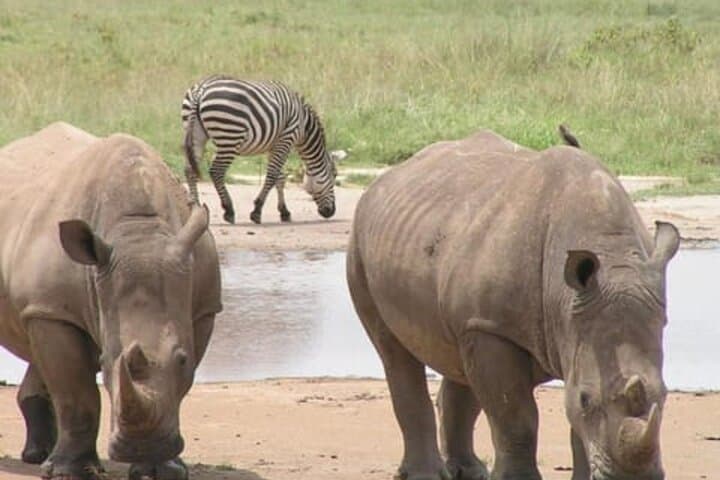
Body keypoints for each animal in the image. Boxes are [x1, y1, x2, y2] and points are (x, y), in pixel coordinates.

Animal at [0, 123, 222, 480]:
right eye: (105, 362)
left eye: (182, 359)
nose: (141, 448)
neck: (138, 230)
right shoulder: (53, 308)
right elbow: (76, 392)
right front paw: (68, 472)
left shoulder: (203, 308)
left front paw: (163, 469)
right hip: (45, 300)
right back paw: (41, 459)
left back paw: (38, 456)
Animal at [347, 130, 679, 480]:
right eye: (586, 399)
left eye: (666, 394)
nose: (633, 479)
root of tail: (390, 176)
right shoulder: (495, 327)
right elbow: (515, 415)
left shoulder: (573, 327)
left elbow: (575, 426)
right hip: (360, 242)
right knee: (393, 352)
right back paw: (426, 473)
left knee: (459, 356)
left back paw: (468, 471)